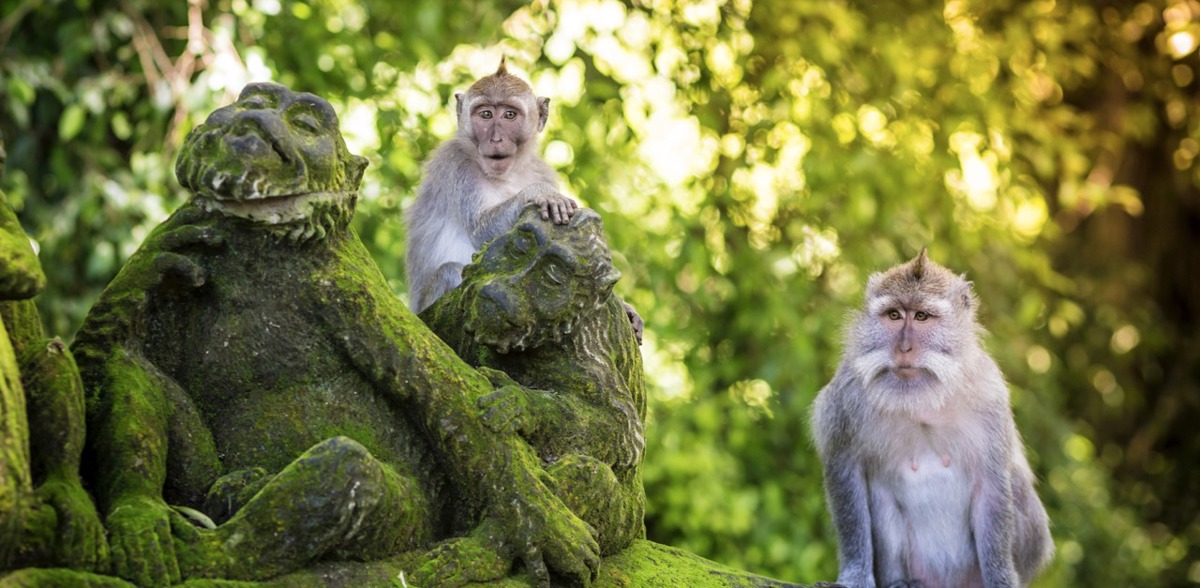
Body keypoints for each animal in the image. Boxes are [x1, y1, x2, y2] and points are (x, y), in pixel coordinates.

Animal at [810, 250, 1052, 588]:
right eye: (894, 315)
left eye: (922, 316)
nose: (904, 348)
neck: (922, 399)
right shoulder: (846, 399)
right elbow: (846, 473)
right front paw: (855, 576)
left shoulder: (989, 396)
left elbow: (992, 485)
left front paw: (1001, 580)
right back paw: (902, 582)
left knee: (1015, 482)